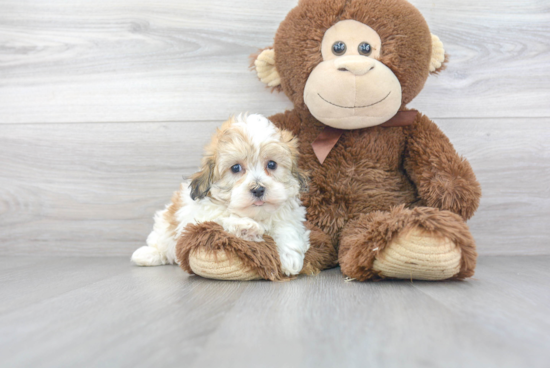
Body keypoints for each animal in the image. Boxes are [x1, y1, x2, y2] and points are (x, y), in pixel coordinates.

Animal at [130, 113, 310, 274]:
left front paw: (290, 258)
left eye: (272, 164)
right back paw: (147, 254)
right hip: (164, 225)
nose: (258, 189)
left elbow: (287, 228)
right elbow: (220, 219)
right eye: (236, 168)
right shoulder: (197, 219)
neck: (255, 214)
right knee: (161, 242)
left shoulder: (290, 215)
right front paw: (247, 227)